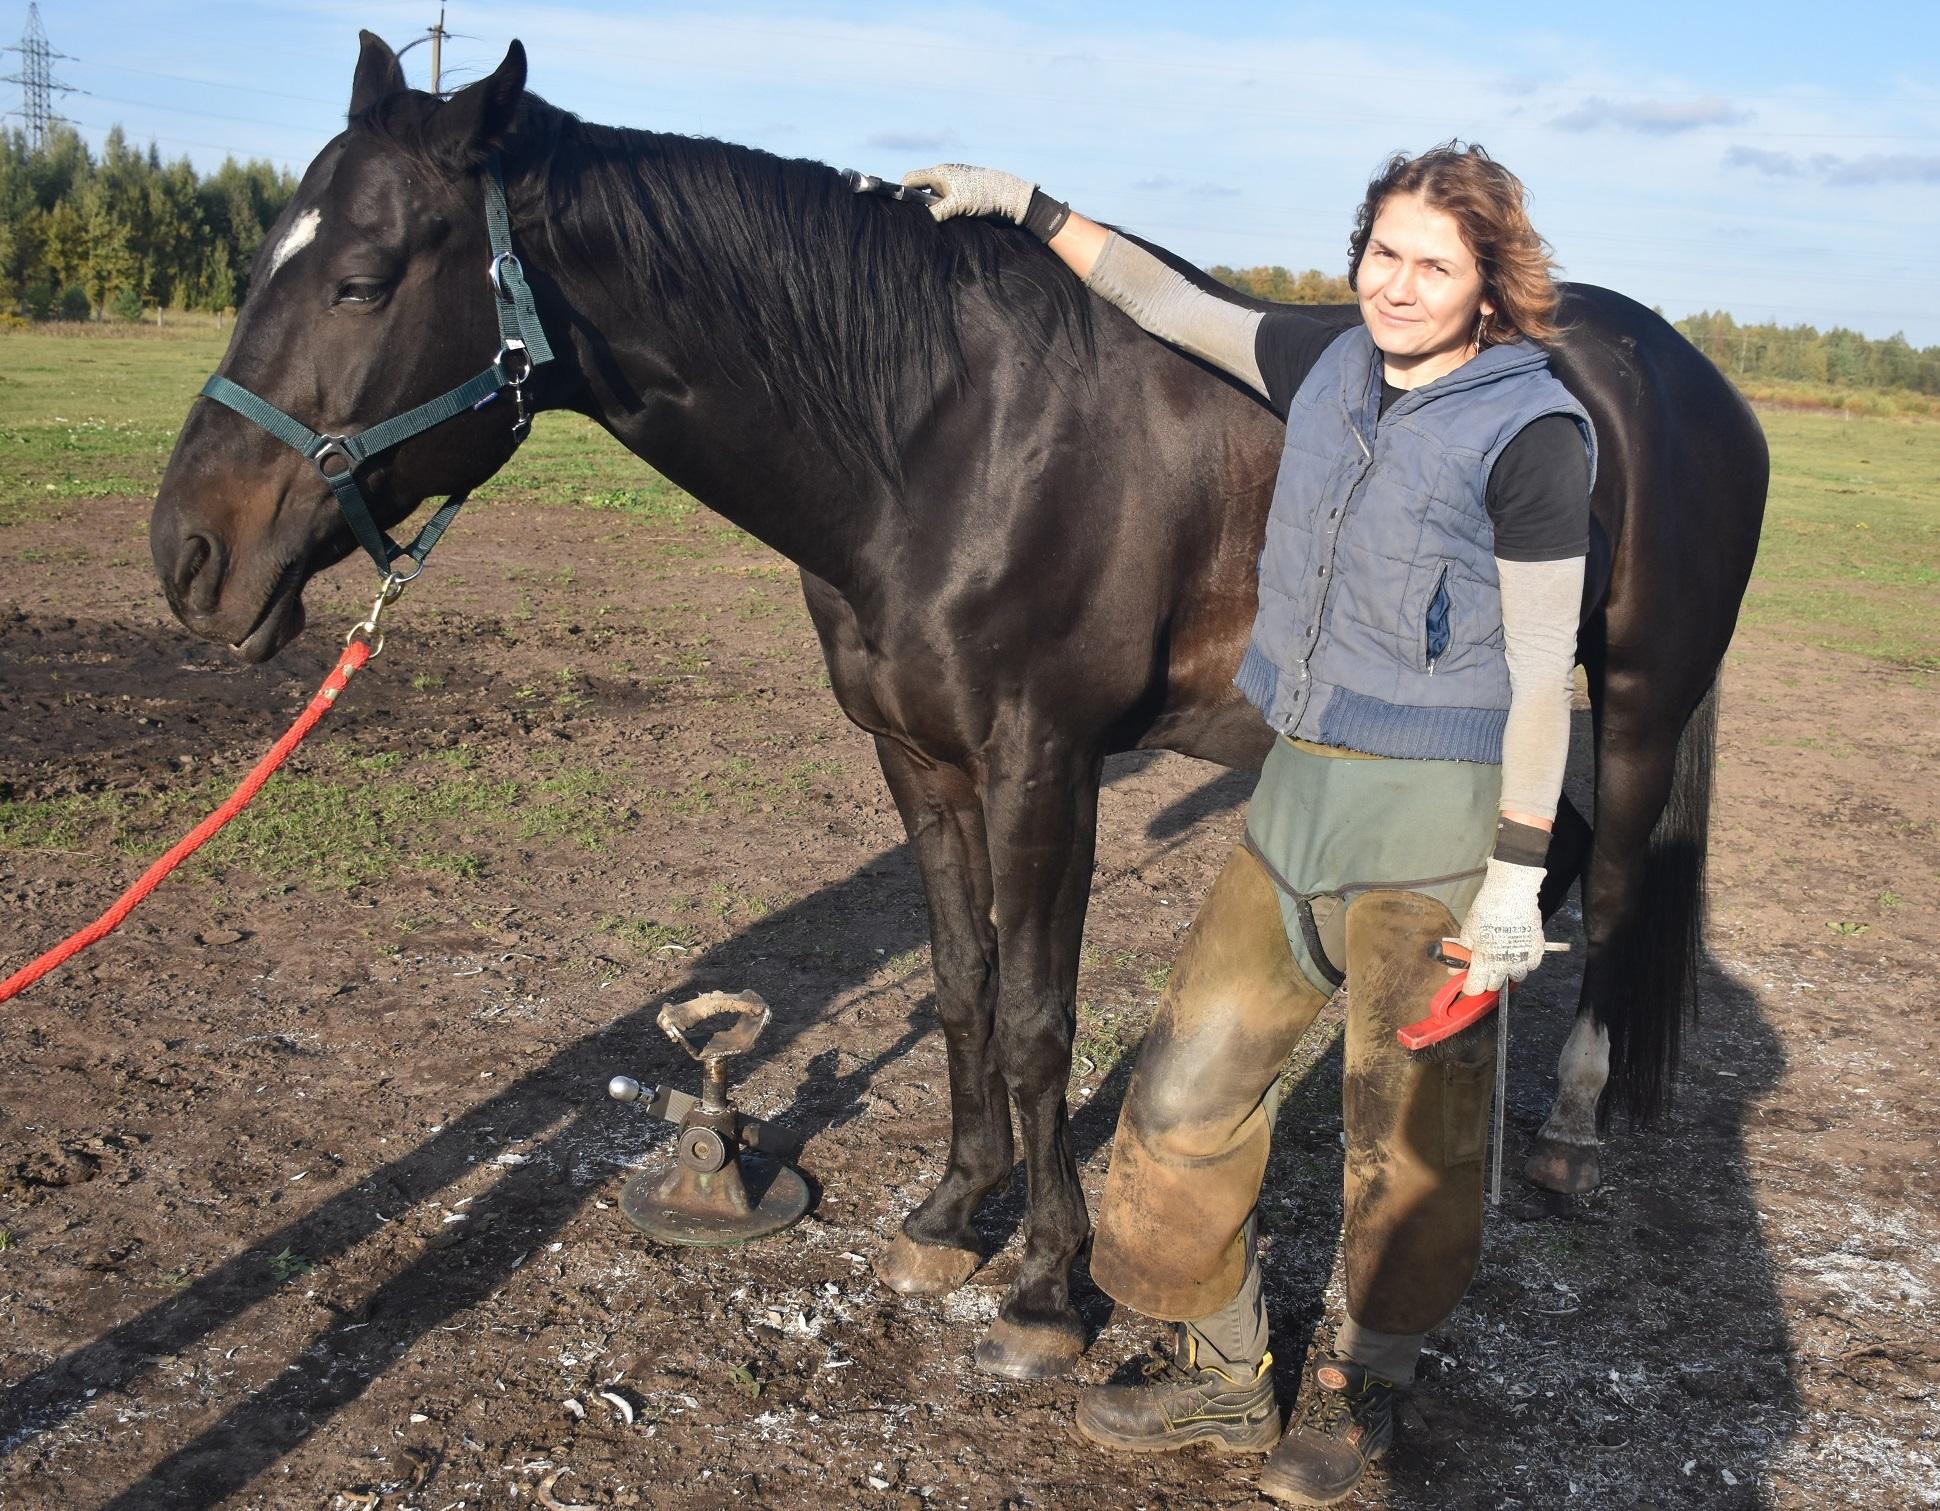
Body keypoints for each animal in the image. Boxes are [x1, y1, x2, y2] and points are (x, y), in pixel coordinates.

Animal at [143, 35, 1769, 1381]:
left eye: (362, 277)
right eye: (268, 256)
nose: (191, 556)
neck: (936, 429)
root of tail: (1688, 377)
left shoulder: (1043, 761)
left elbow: (1044, 1014)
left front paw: (1049, 1284)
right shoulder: (915, 758)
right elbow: (961, 983)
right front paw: (951, 1207)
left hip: (1637, 701)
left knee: (1611, 887)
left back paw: (1566, 1137)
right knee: (1533, 878)